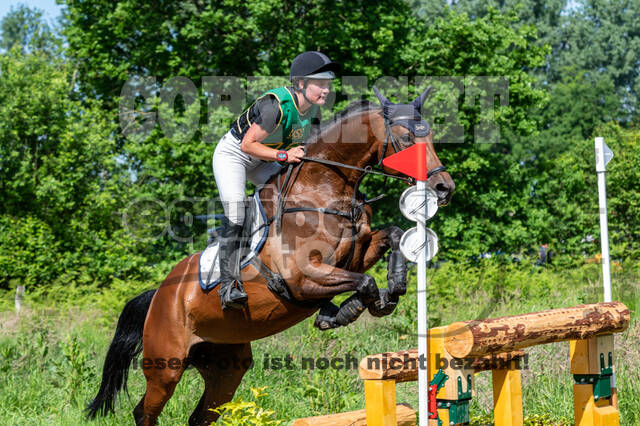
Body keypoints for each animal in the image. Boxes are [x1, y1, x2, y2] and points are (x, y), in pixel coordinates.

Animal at [86, 87, 455, 425]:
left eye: (430, 136)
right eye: (406, 137)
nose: (444, 188)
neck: (323, 190)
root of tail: (159, 294)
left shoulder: (353, 255)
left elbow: (392, 235)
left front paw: (394, 287)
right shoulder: (304, 277)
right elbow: (364, 282)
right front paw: (350, 310)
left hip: (226, 366)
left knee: (200, 416)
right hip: (166, 365)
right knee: (145, 412)